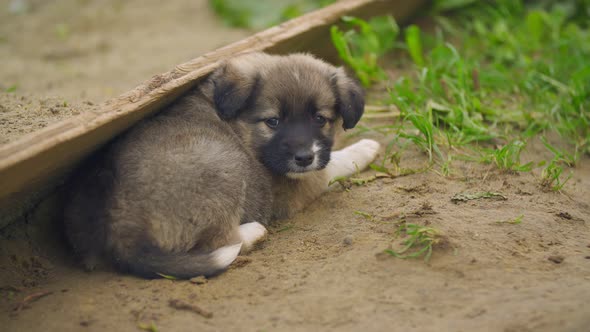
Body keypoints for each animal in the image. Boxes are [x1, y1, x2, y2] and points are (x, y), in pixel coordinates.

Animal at [63, 53, 380, 278]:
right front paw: (366, 147)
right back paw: (253, 231)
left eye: (320, 119)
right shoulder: (298, 183)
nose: (304, 157)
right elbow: (332, 166)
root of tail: (123, 231)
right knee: (218, 241)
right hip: (223, 163)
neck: (242, 127)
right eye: (273, 121)